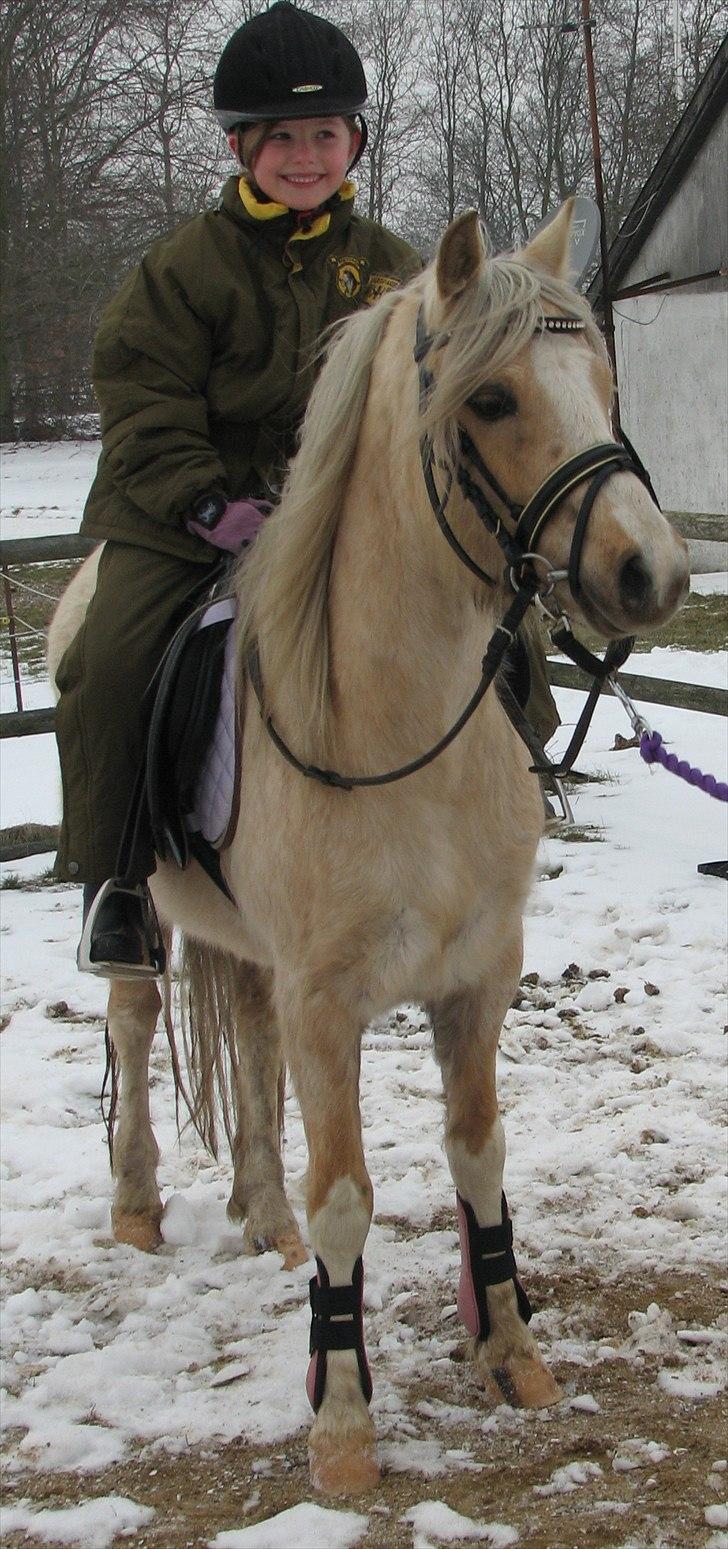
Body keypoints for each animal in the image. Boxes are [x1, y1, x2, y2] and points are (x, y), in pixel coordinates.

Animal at [48, 203, 689, 1496]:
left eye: (602, 380)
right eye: (489, 400)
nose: (648, 573)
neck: (397, 728)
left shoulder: (476, 984)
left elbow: (478, 1159)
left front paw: (513, 1356)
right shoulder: (328, 1002)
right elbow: (345, 1196)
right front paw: (341, 1429)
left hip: (254, 955)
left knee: (243, 1038)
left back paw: (257, 1209)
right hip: (143, 914)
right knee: (135, 1023)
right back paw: (139, 1204)